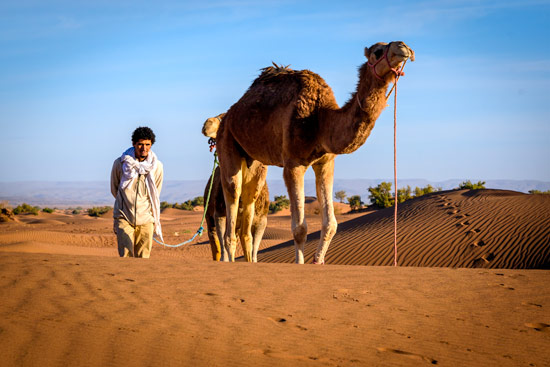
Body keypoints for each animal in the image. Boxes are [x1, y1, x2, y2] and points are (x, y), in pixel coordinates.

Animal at [216, 41, 414, 264]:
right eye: (378, 52)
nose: (404, 47)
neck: (320, 120)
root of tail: (229, 115)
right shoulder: (293, 164)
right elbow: (300, 228)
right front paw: (300, 264)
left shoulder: (325, 162)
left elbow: (331, 224)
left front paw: (318, 261)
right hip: (226, 141)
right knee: (232, 201)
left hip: (254, 161)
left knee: (249, 205)